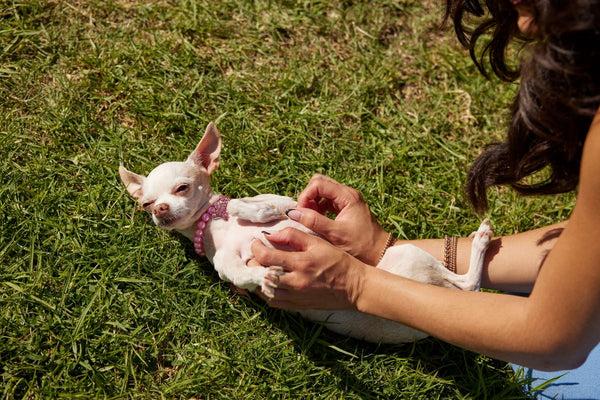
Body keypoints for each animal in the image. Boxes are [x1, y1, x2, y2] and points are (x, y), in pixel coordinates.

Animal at [120, 122, 492, 344]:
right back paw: (481, 243)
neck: (212, 222)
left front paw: (251, 211)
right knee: (469, 286)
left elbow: (257, 205)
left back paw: (481, 241)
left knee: (468, 284)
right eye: (146, 204)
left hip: (406, 254)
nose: (160, 210)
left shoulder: (290, 204)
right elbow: (242, 275)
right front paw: (264, 277)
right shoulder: (227, 266)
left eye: (182, 188)